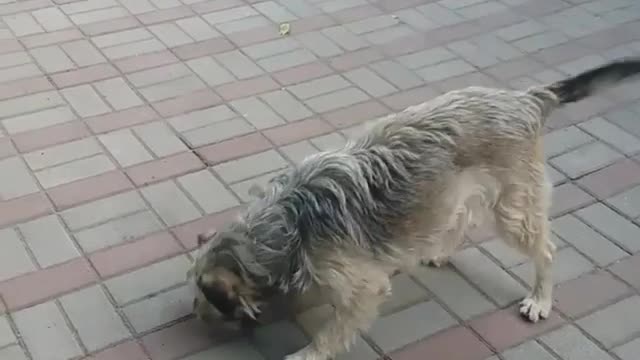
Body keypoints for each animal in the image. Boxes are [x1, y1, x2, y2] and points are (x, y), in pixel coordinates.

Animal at [188, 57, 640, 360]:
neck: (290, 220)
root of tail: (527, 100)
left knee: (544, 248)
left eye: (204, 295)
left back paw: (541, 298)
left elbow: (335, 328)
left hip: (514, 208)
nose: (193, 316)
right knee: (459, 219)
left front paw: (311, 352)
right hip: (456, 191)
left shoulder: (360, 286)